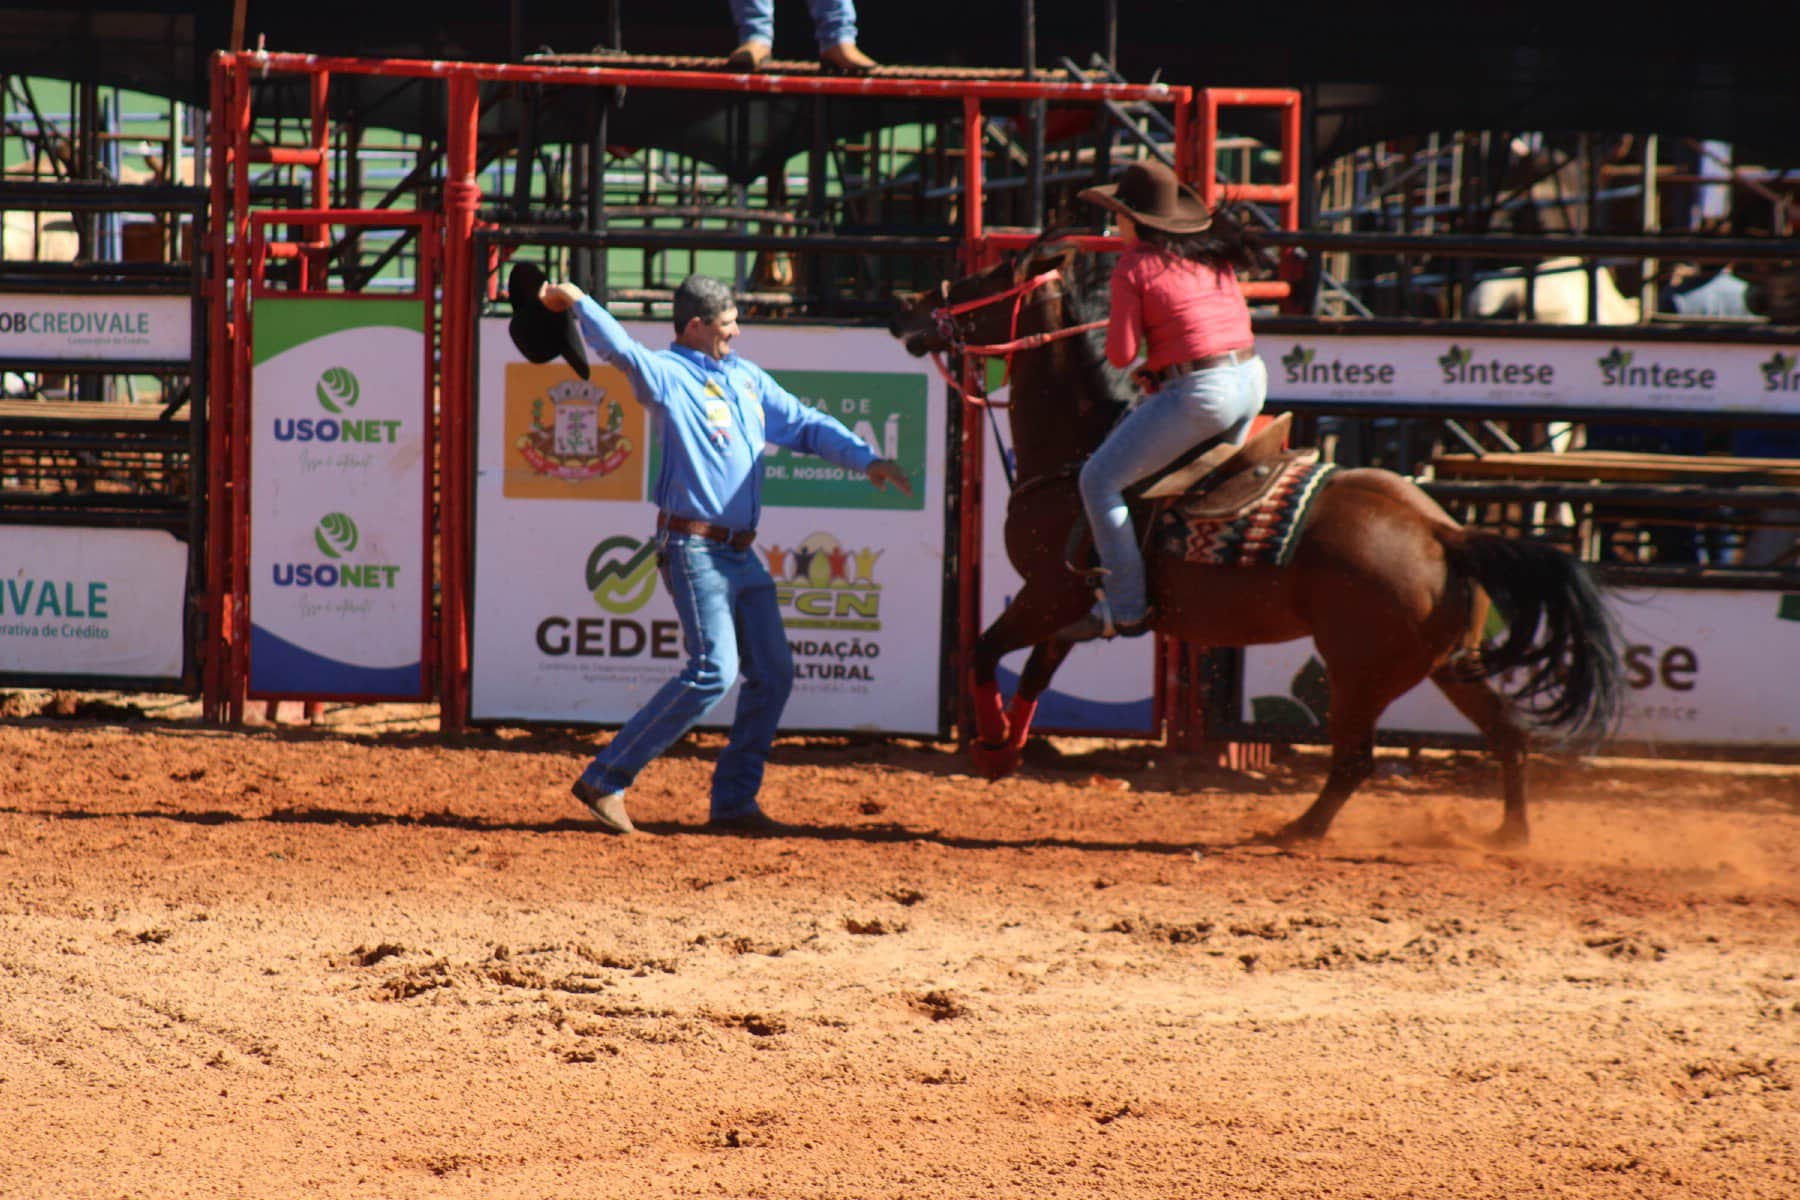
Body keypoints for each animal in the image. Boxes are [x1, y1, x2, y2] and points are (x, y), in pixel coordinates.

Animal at [889, 246, 1624, 846]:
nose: (906, 307)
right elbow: (1036, 673)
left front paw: (987, 743)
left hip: (1358, 672)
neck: (1077, 455)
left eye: (987, 278)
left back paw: (1299, 831)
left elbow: (984, 651)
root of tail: (1443, 532)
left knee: (1356, 759)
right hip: (1453, 663)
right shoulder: (1070, 607)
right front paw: (1005, 751)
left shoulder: (1046, 592)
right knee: (1509, 738)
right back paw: (1509, 836)